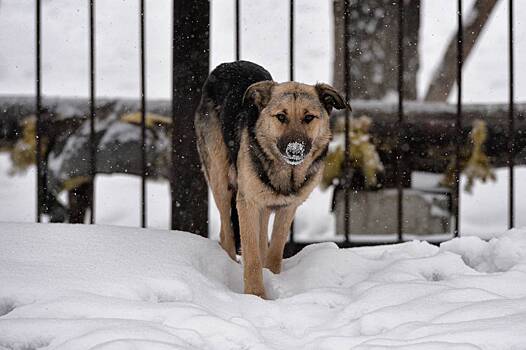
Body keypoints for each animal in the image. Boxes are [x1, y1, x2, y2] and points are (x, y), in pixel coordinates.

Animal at [194, 60, 350, 298]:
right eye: (281, 117)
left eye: (308, 117)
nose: (295, 150)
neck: (286, 172)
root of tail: (226, 65)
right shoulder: (247, 203)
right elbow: (251, 256)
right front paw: (256, 295)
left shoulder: (289, 206)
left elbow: (275, 249)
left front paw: (273, 276)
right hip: (220, 180)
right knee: (226, 234)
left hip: (263, 203)